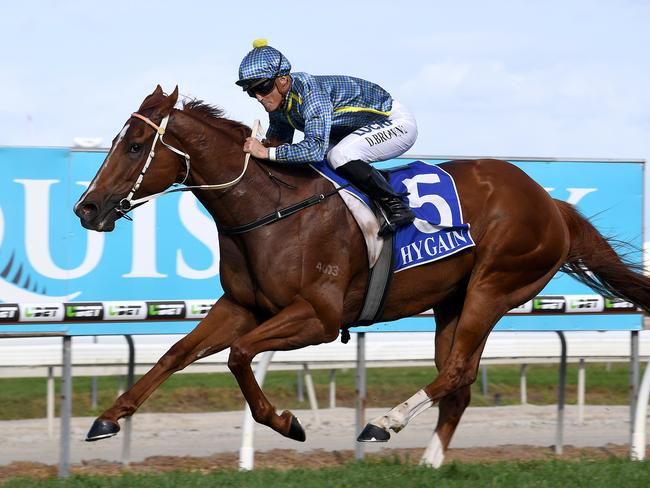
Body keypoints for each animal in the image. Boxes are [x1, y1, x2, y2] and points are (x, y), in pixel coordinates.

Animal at [72, 86, 648, 468]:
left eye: (133, 146)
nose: (87, 208)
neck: (268, 209)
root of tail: (552, 204)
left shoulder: (320, 317)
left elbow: (239, 356)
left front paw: (288, 422)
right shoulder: (241, 307)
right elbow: (176, 353)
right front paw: (108, 418)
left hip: (494, 287)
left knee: (457, 372)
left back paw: (383, 423)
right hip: (452, 300)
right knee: (457, 382)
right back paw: (428, 464)